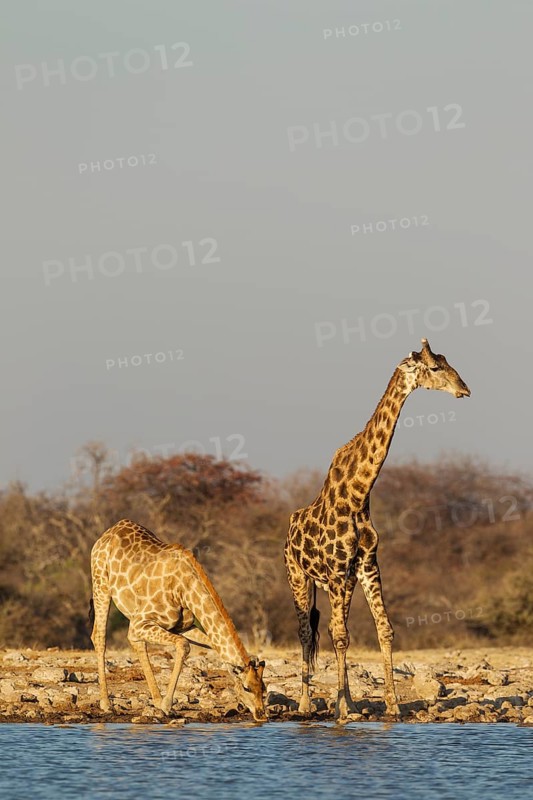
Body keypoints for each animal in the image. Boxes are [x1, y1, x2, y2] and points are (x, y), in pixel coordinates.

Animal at [90, 519, 267, 721]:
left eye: (263, 688)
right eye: (247, 687)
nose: (262, 715)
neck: (184, 590)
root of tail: (109, 532)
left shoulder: (183, 627)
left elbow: (211, 645)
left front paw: (163, 703)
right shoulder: (140, 623)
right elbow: (183, 645)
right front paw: (167, 705)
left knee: (135, 643)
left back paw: (155, 700)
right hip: (101, 586)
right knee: (99, 637)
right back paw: (107, 704)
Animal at [284, 338, 470, 720]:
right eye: (435, 368)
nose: (465, 389)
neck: (358, 495)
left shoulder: (366, 566)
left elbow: (383, 630)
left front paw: (390, 705)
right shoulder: (337, 570)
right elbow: (338, 635)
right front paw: (341, 711)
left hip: (339, 583)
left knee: (328, 627)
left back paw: (349, 700)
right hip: (299, 575)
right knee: (306, 632)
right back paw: (307, 703)